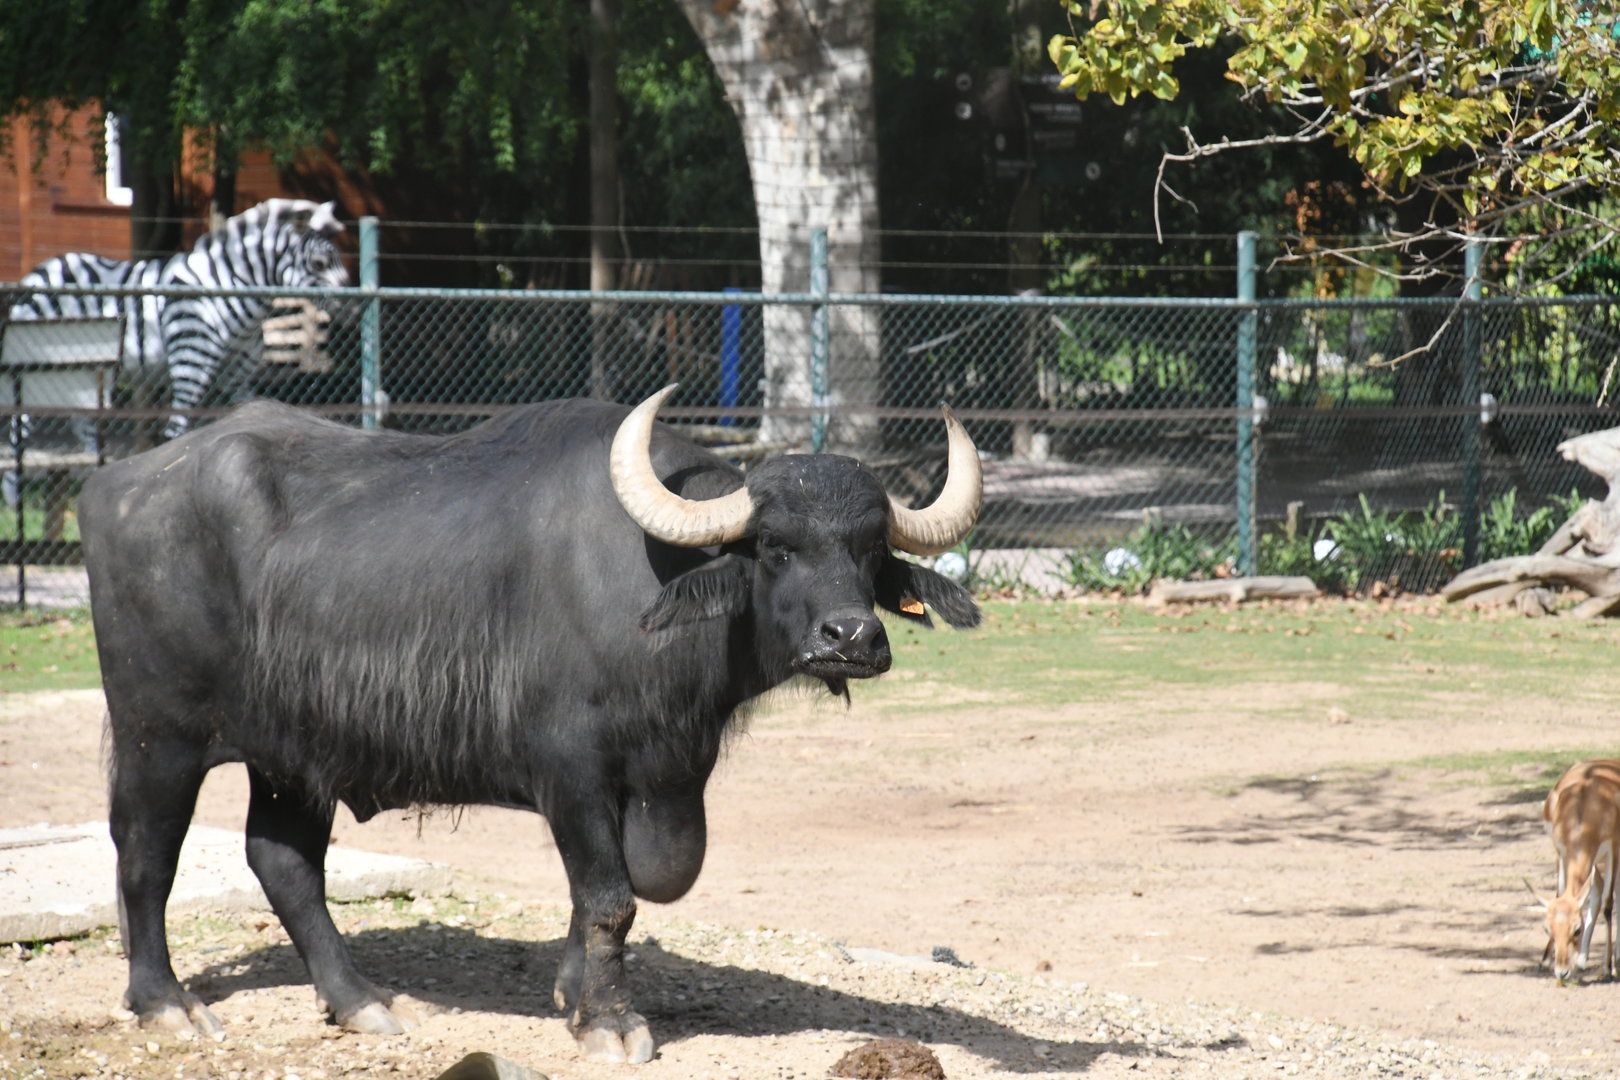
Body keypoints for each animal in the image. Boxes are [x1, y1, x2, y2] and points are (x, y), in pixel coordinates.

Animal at [79, 385, 983, 1062]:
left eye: (870, 550)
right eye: (776, 546)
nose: (851, 639)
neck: (649, 587)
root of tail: (114, 486)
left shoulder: (664, 772)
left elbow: (635, 885)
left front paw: (574, 992)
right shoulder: (570, 773)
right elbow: (611, 896)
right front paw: (610, 1023)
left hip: (295, 754)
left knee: (283, 862)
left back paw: (362, 1003)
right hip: (160, 735)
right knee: (146, 854)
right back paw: (165, 1003)